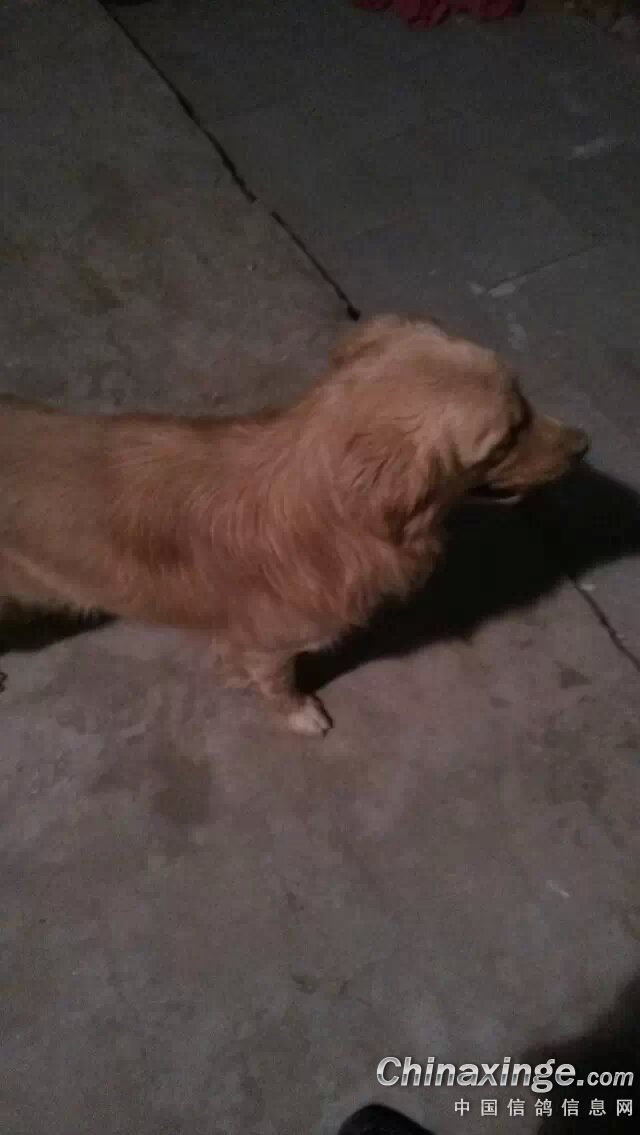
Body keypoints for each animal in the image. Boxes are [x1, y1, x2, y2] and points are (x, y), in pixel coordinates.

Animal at [0, 315, 588, 733]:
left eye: (524, 398)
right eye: (505, 440)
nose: (584, 445)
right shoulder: (268, 645)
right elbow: (277, 683)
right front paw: (300, 713)